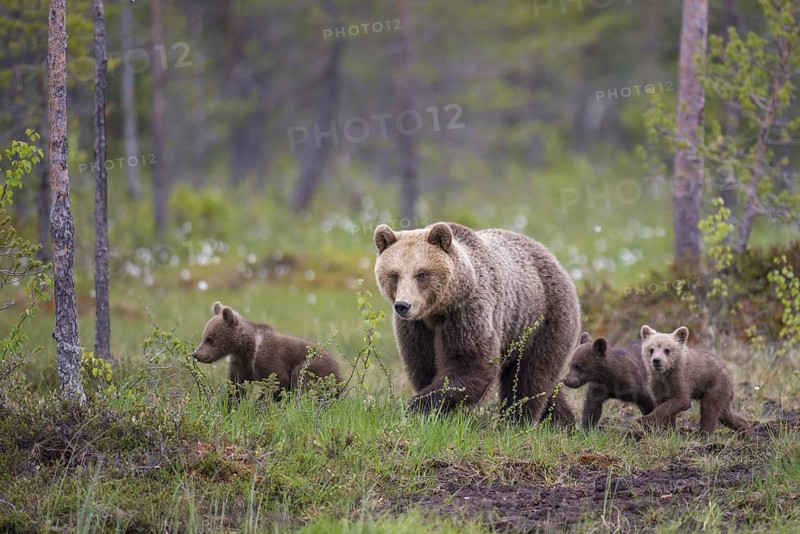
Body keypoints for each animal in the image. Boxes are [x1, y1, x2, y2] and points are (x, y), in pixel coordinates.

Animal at [192, 302, 342, 403]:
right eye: (204, 336)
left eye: (209, 338)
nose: (196, 354)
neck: (246, 349)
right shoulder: (241, 364)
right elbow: (236, 386)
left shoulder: (266, 356)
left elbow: (279, 380)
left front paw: (258, 404)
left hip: (317, 367)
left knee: (302, 377)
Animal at [373, 221, 580, 425]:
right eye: (394, 274)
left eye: (421, 274)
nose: (403, 305)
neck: (438, 312)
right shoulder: (417, 328)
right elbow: (423, 365)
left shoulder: (467, 312)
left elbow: (470, 365)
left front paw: (415, 407)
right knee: (547, 384)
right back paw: (563, 422)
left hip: (542, 319)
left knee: (529, 376)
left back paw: (516, 422)